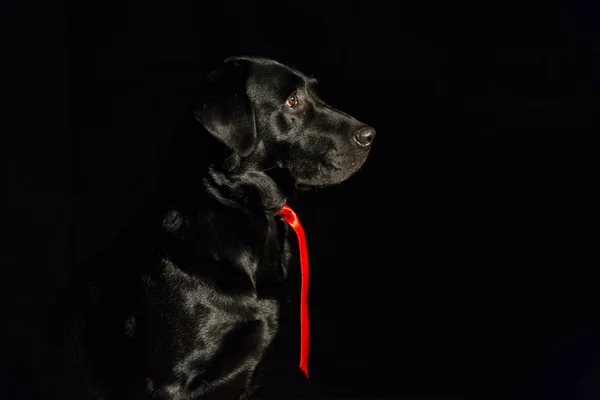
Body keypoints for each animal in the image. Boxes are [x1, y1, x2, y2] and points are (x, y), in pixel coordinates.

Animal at [43, 57, 376, 400]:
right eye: (292, 101)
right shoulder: (167, 381)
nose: (370, 135)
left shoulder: (249, 374)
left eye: (316, 93)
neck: (236, 204)